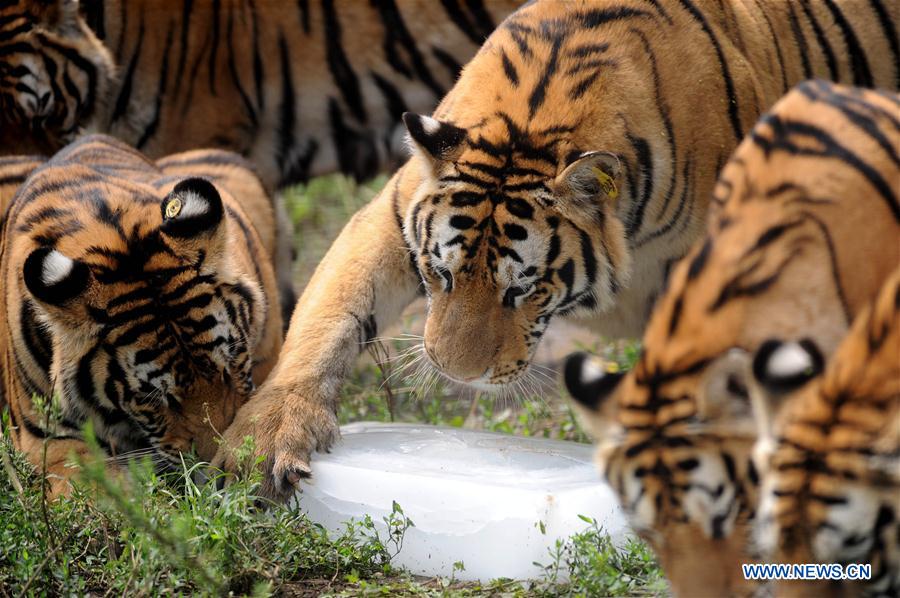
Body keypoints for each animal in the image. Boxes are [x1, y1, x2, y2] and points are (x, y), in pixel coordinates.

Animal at [208, 0, 900, 501]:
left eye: (524, 288)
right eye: (440, 274)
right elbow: (330, 315)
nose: (458, 376)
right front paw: (263, 442)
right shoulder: (391, 215)